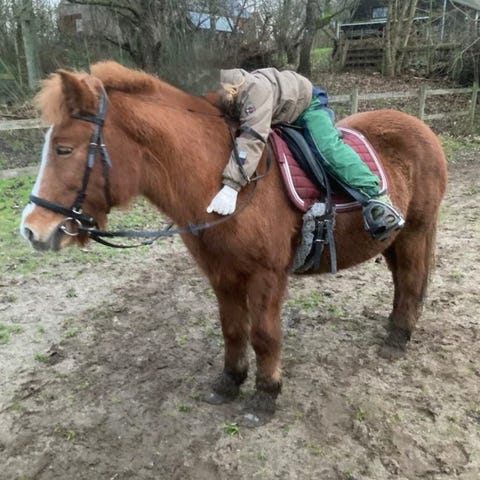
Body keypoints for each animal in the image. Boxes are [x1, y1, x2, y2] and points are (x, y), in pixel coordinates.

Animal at [20, 61, 448, 424]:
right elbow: (233, 330)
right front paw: (230, 381)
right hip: (394, 240)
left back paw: (397, 338)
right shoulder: (222, 275)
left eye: (64, 149)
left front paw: (265, 394)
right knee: (402, 281)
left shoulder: (267, 276)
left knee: (411, 279)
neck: (222, 182)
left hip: (415, 231)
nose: (32, 230)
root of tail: (420, 127)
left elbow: (264, 336)